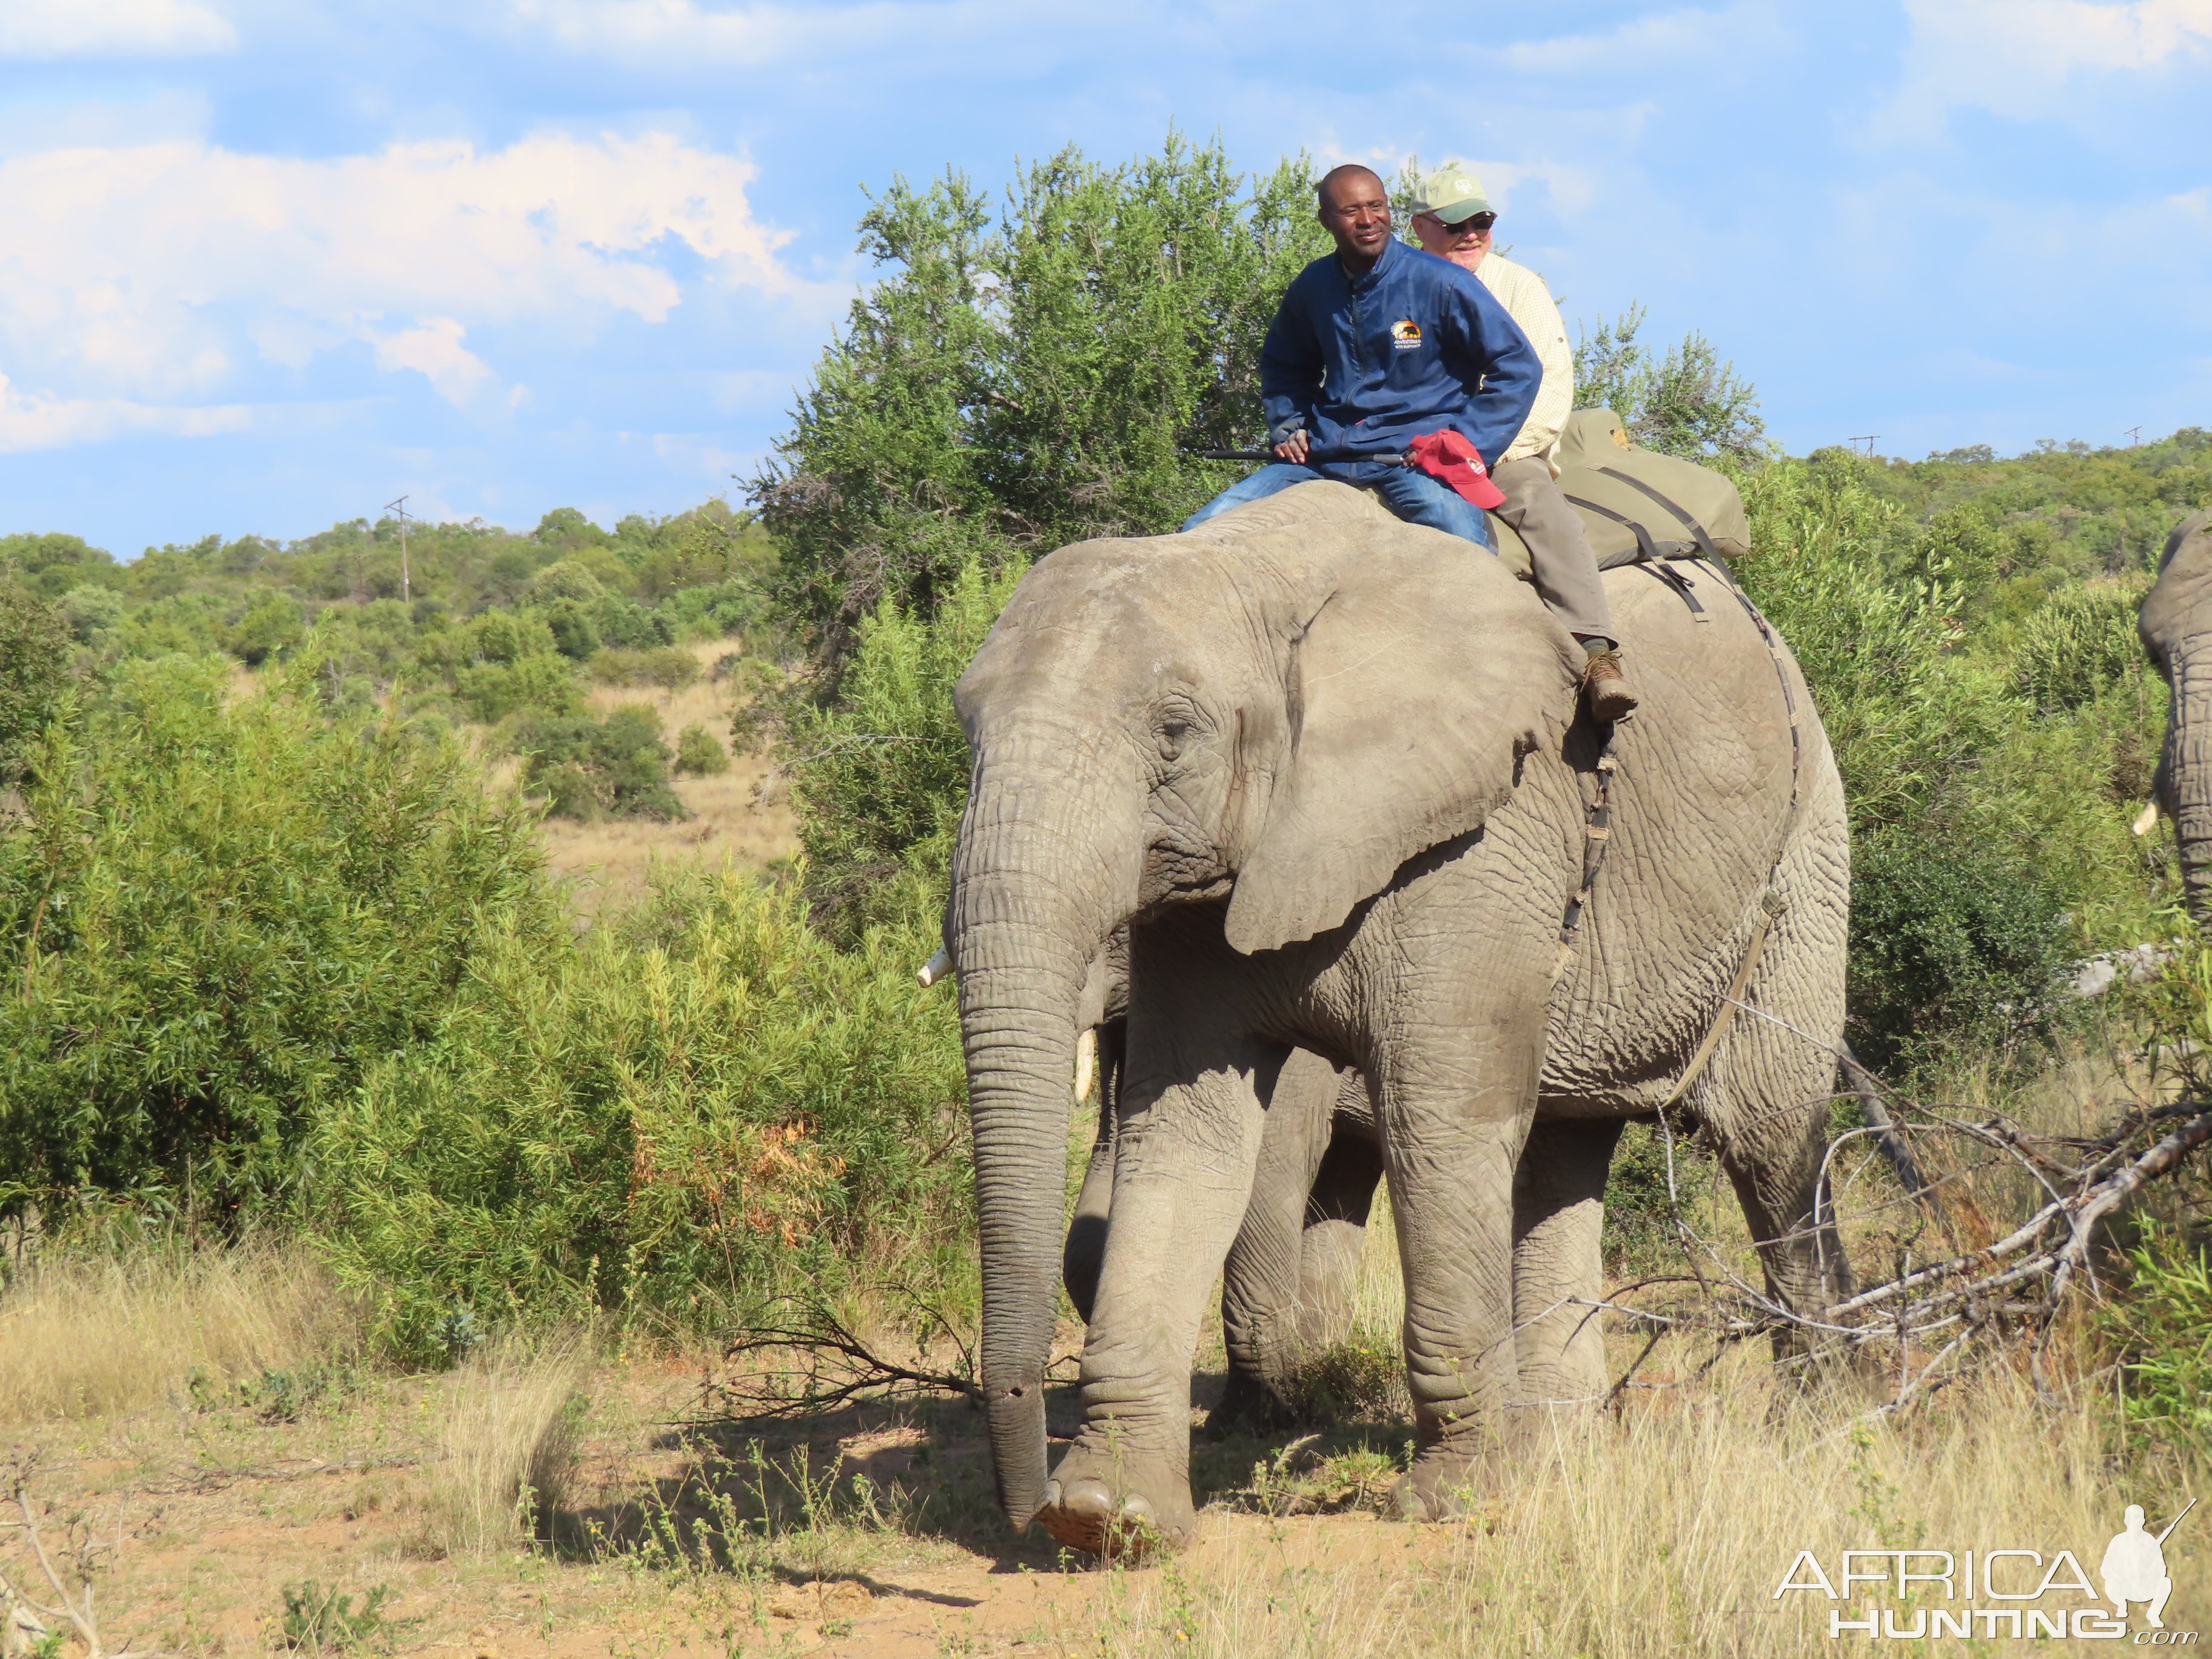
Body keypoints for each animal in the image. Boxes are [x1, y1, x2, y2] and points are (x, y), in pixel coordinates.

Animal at [951, 480, 1849, 1557]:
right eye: (967, 728)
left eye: (1175, 732)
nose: (1018, 1505)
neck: (1250, 569)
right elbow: (1185, 1132)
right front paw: (1107, 1519)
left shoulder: (1480, 832)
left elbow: (1433, 1120)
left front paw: (1448, 1496)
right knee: (1562, 1153)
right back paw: (1559, 1451)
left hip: (1802, 857)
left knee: (1772, 1146)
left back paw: (1822, 1426)